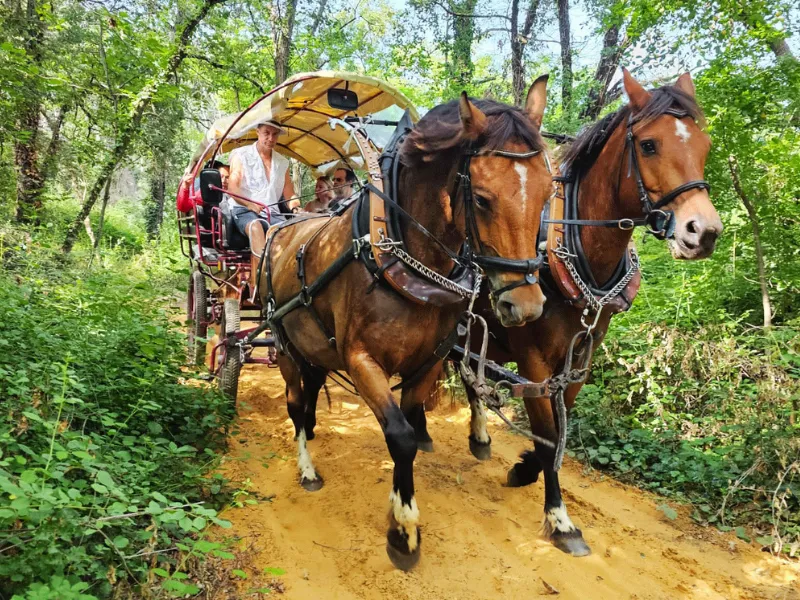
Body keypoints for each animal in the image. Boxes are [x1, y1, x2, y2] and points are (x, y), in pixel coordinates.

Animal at [262, 82, 556, 568]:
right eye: (481, 198)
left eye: (549, 192)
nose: (526, 306)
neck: (406, 258)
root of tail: (280, 227)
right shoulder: (361, 360)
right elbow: (399, 435)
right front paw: (403, 529)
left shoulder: (430, 361)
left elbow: (413, 421)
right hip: (283, 342)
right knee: (295, 404)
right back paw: (306, 467)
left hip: (314, 346)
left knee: (310, 392)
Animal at [460, 70, 720, 556]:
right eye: (649, 145)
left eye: (704, 144)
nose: (705, 232)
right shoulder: (534, 358)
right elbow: (548, 436)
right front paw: (560, 520)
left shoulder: (581, 357)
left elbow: (560, 427)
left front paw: (525, 469)